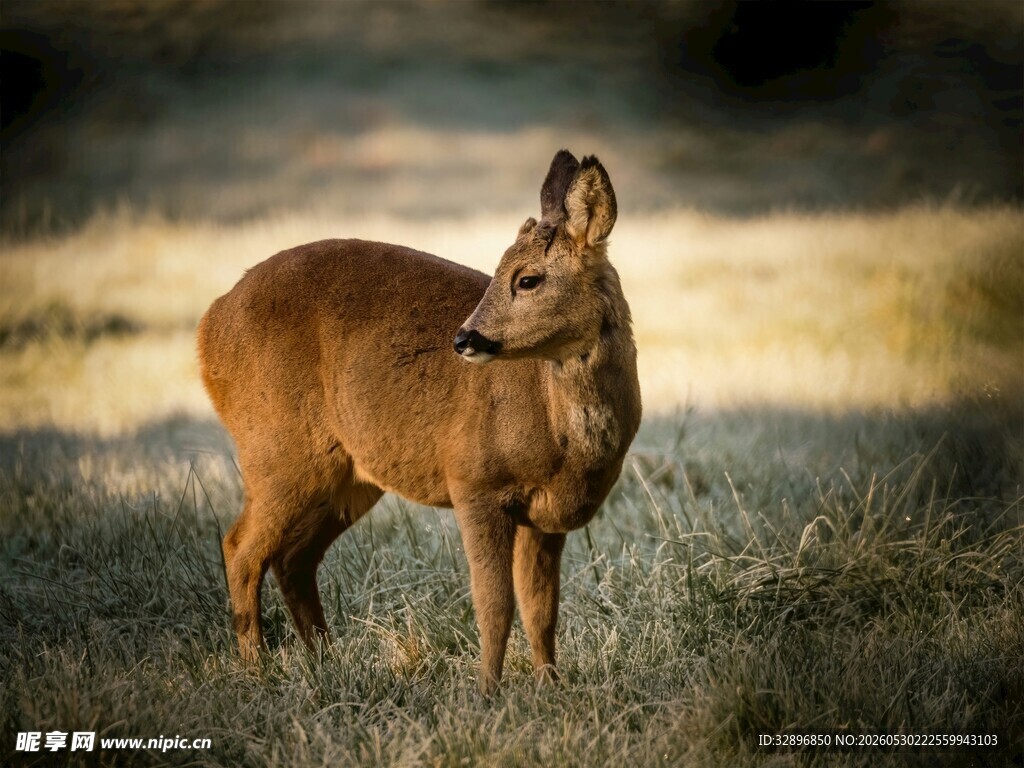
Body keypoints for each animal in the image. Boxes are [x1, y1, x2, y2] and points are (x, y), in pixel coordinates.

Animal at [197, 150, 641, 693]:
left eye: (528, 278)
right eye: (498, 271)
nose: (464, 338)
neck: (559, 433)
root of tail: (208, 327)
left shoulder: (545, 515)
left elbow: (542, 610)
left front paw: (551, 688)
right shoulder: (474, 482)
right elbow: (494, 604)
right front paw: (488, 693)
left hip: (349, 477)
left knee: (293, 558)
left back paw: (327, 663)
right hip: (276, 449)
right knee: (240, 548)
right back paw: (257, 671)